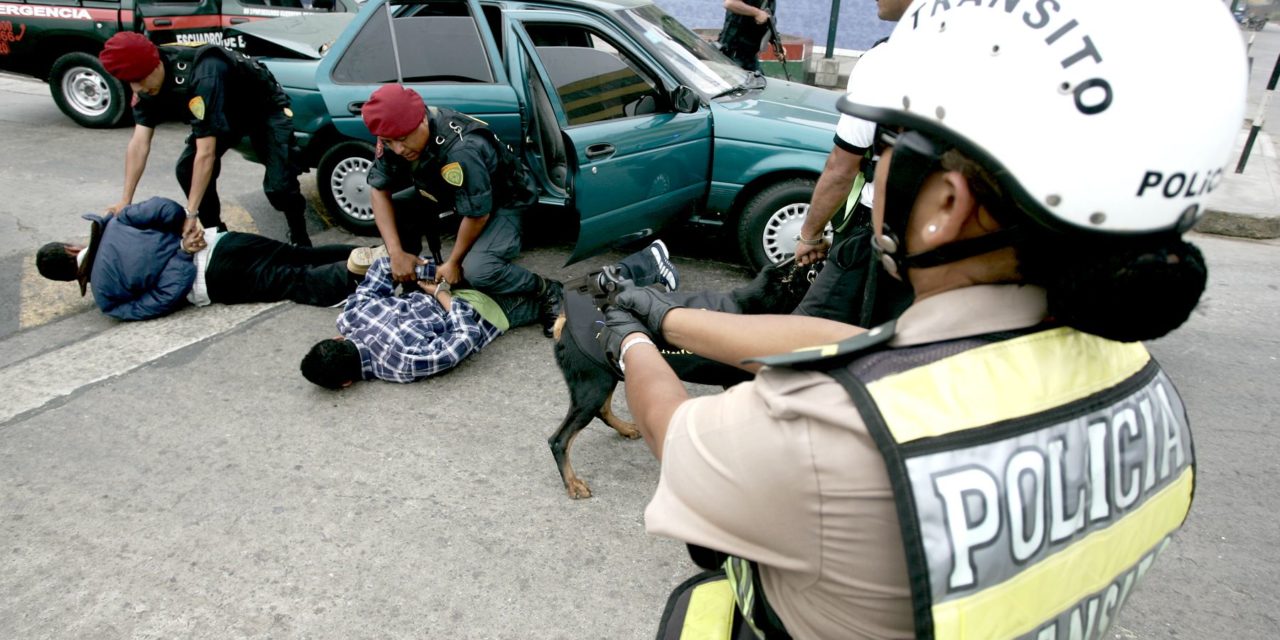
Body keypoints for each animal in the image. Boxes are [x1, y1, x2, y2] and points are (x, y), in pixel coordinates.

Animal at [547, 259, 808, 499]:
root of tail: (564, 322)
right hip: (593, 384)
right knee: (559, 440)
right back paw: (573, 484)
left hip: (605, 375)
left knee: (601, 410)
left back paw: (625, 428)